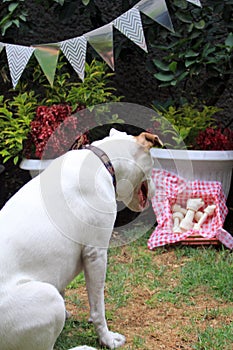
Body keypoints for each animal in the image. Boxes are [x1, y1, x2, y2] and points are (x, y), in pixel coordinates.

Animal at [0, 130, 161, 350]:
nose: (155, 190)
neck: (104, 160)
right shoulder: (96, 254)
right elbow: (98, 307)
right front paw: (107, 339)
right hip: (47, 297)